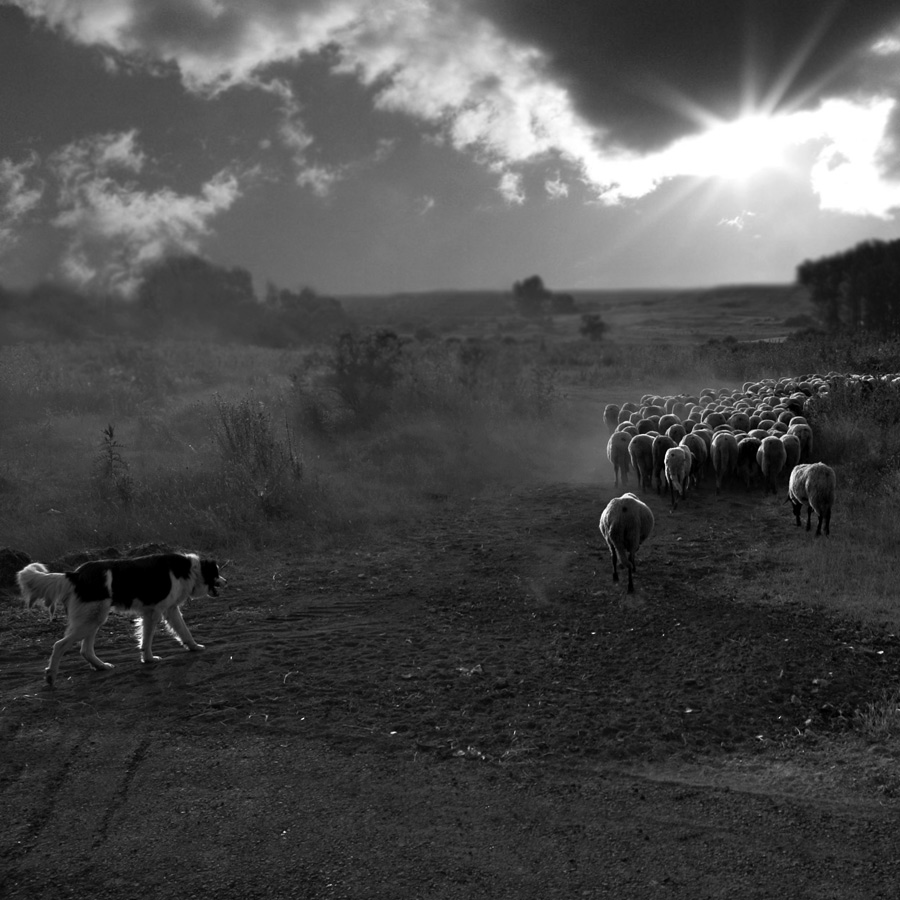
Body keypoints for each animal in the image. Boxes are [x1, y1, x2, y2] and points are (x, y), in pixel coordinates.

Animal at [17, 552, 225, 686]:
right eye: (216, 573)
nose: (226, 581)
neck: (190, 569)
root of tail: (76, 575)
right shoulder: (156, 612)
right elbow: (150, 638)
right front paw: (149, 658)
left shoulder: (165, 610)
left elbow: (182, 631)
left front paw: (193, 647)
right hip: (92, 619)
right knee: (59, 645)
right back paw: (51, 676)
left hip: (93, 619)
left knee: (85, 650)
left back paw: (101, 666)